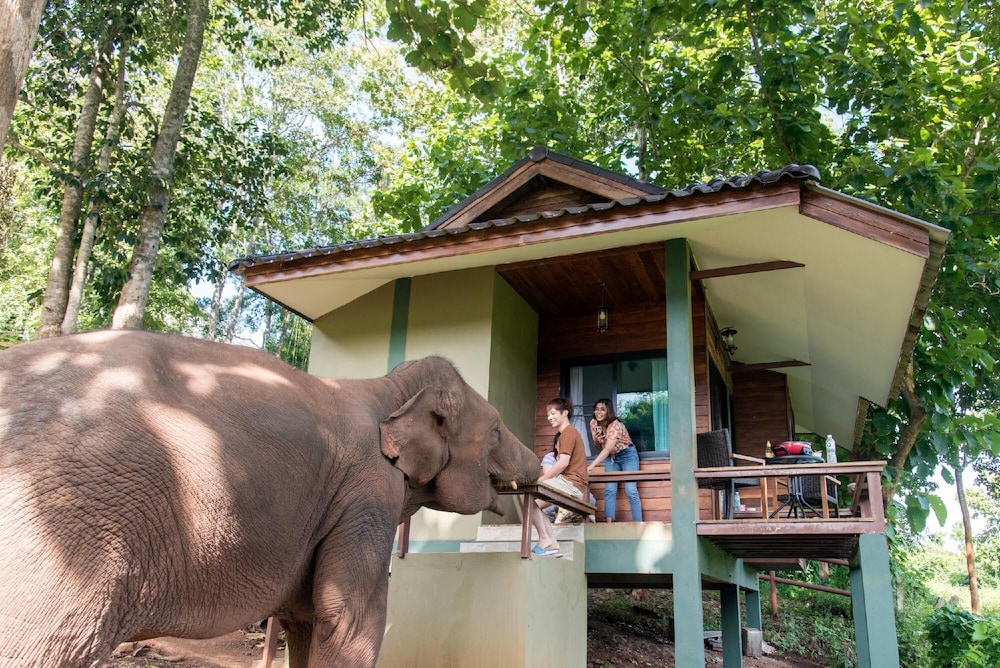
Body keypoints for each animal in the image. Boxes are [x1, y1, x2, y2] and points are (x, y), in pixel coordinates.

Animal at [0, 330, 540, 667]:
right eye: (496, 431)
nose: (539, 467)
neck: (391, 386)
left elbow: (307, 619)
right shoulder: (368, 494)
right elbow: (350, 620)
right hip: (66, 543)